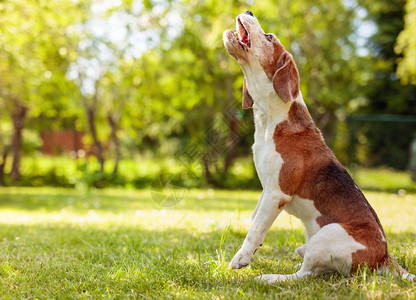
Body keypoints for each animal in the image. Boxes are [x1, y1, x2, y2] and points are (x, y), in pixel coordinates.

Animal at [223, 11, 414, 284]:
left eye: (269, 37)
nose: (248, 12)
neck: (271, 118)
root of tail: (384, 256)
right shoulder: (266, 189)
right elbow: (253, 221)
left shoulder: (276, 193)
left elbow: (256, 229)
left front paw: (241, 258)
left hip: (326, 235)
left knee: (305, 275)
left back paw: (270, 277)